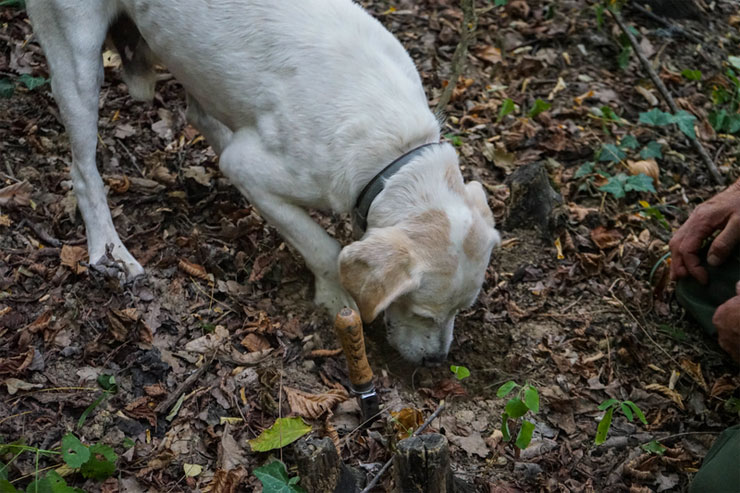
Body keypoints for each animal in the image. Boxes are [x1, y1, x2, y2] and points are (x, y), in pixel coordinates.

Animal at [28, 0, 502, 362]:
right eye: (421, 312)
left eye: (461, 310)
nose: (436, 361)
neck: (394, 148)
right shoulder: (253, 169)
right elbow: (324, 248)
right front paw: (336, 297)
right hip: (77, 60)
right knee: (83, 171)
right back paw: (109, 251)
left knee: (200, 115)